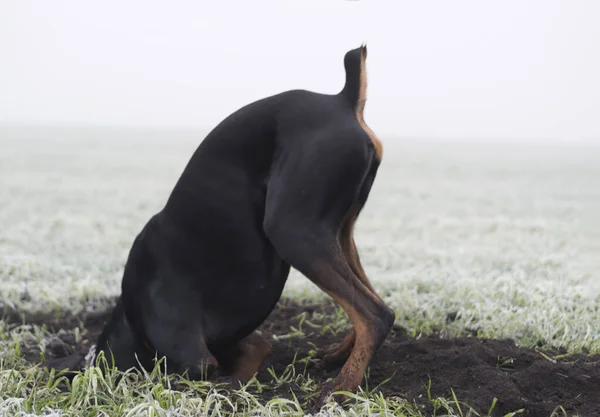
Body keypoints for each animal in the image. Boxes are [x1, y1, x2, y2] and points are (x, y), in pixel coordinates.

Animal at [92, 45, 394, 404]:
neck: (131, 314)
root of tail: (343, 100)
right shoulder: (239, 343)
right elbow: (252, 354)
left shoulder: (193, 355)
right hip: (335, 233)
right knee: (371, 301)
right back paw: (337, 356)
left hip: (292, 230)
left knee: (375, 315)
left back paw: (343, 385)